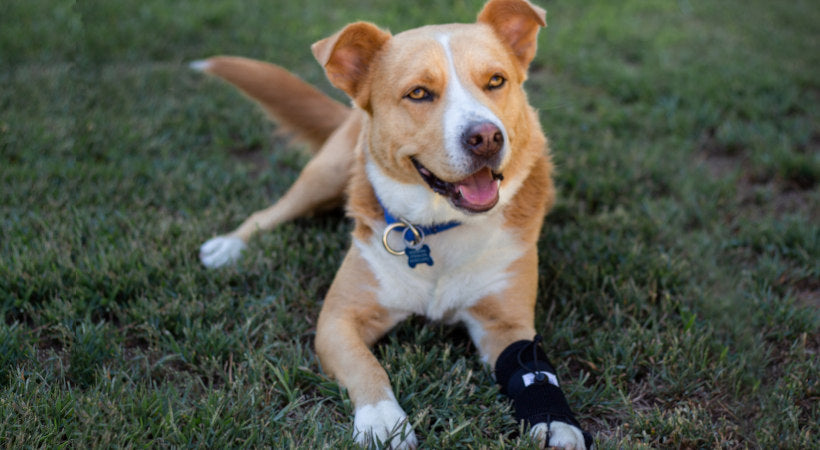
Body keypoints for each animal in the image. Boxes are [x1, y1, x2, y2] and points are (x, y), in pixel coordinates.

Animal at [192, 0, 588, 446]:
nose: (487, 137)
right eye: (418, 93)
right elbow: (366, 365)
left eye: (496, 81)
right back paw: (229, 246)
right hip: (325, 174)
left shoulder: (506, 324)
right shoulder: (338, 319)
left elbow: (533, 372)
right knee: (268, 214)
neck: (437, 227)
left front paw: (555, 421)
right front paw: (382, 420)